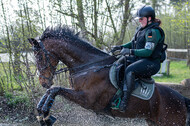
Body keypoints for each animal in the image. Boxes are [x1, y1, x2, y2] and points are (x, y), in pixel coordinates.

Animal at [28, 25, 190, 125]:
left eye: (40, 57)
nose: (43, 82)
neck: (89, 66)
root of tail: (182, 99)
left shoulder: (87, 99)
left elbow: (56, 89)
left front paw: (45, 115)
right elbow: (52, 90)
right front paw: (42, 114)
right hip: (153, 122)